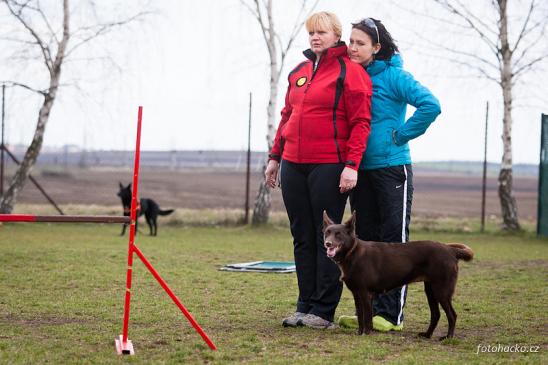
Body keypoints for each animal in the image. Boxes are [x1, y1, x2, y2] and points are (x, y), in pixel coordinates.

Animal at [324, 210, 474, 338]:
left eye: (338, 234)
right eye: (327, 232)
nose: (327, 243)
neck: (352, 253)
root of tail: (450, 250)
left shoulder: (366, 294)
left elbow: (367, 318)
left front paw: (366, 334)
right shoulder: (357, 294)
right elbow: (361, 317)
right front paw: (360, 334)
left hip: (442, 291)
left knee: (452, 315)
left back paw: (449, 337)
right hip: (431, 290)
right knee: (436, 314)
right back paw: (427, 335)